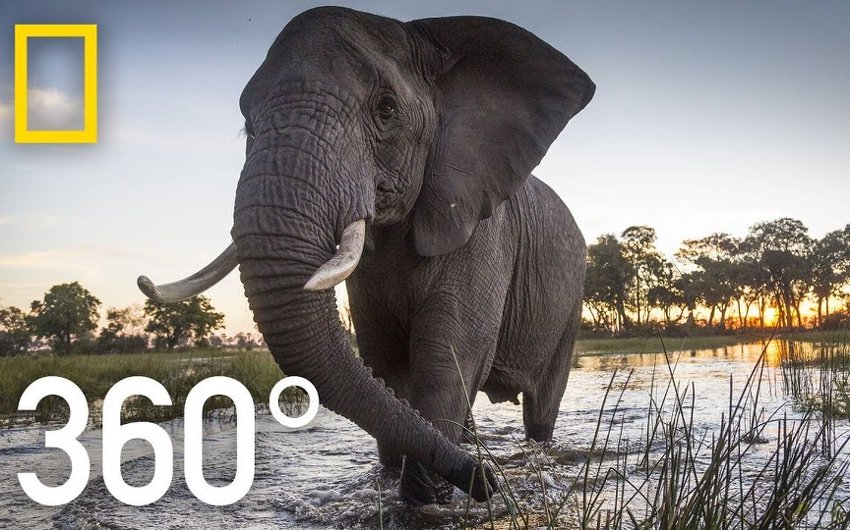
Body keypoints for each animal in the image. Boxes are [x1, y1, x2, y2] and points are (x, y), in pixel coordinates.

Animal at [138, 6, 594, 505]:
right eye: (249, 128)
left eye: (386, 109)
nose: (488, 483)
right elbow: (384, 360)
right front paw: (409, 481)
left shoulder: (481, 230)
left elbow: (449, 356)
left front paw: (429, 498)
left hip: (572, 296)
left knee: (542, 404)